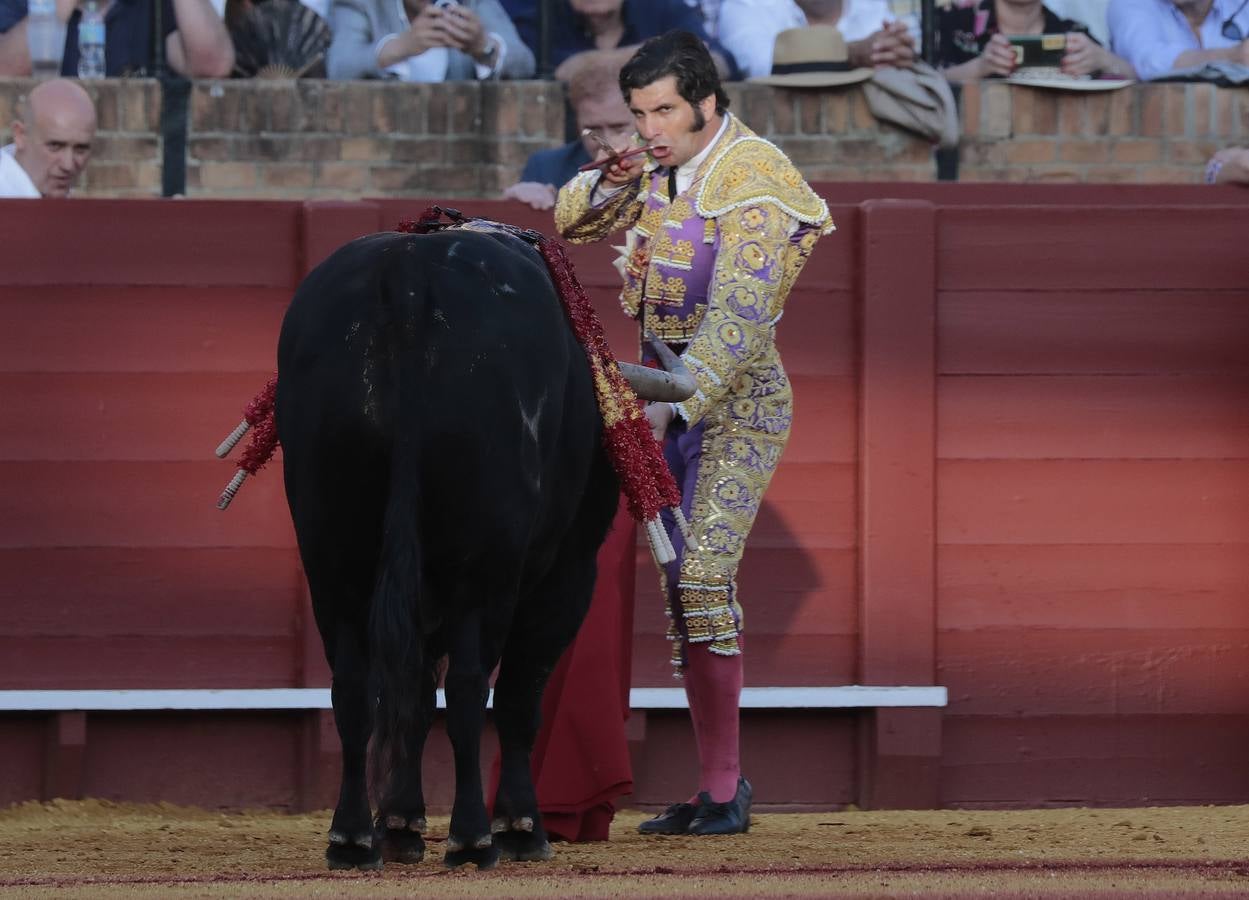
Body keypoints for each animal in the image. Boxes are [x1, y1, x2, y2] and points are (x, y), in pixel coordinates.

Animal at [278, 228, 624, 868]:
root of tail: (410, 269)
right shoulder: (566, 574)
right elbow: (516, 697)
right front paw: (520, 828)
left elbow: (411, 695)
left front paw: (401, 823)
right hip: (482, 570)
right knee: (470, 688)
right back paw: (473, 837)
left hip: (331, 557)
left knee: (354, 687)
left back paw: (353, 838)